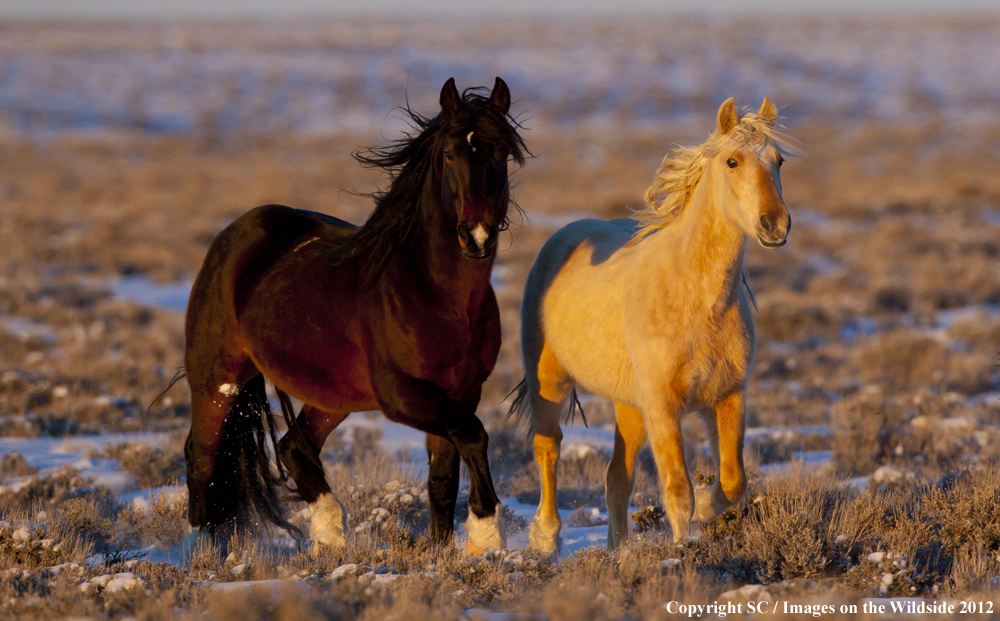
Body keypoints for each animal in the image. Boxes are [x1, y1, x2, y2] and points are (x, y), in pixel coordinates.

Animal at [182, 77, 526, 556]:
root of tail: (234, 233)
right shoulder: (402, 395)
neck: (440, 295)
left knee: (292, 447)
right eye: (449, 154)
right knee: (202, 462)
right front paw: (486, 533)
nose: (476, 236)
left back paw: (329, 536)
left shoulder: (461, 391)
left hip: (333, 395)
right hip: (216, 381)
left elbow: (443, 478)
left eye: (501, 153)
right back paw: (202, 554)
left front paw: (445, 552)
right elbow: (475, 435)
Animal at [509, 97, 792, 553]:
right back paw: (547, 540)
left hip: (628, 405)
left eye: (778, 160)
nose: (774, 224)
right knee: (548, 448)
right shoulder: (662, 405)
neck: (697, 301)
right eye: (732, 161)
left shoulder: (728, 396)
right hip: (548, 382)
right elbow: (677, 490)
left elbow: (733, 480)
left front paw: (710, 510)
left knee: (616, 478)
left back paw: (616, 550)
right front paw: (681, 549)